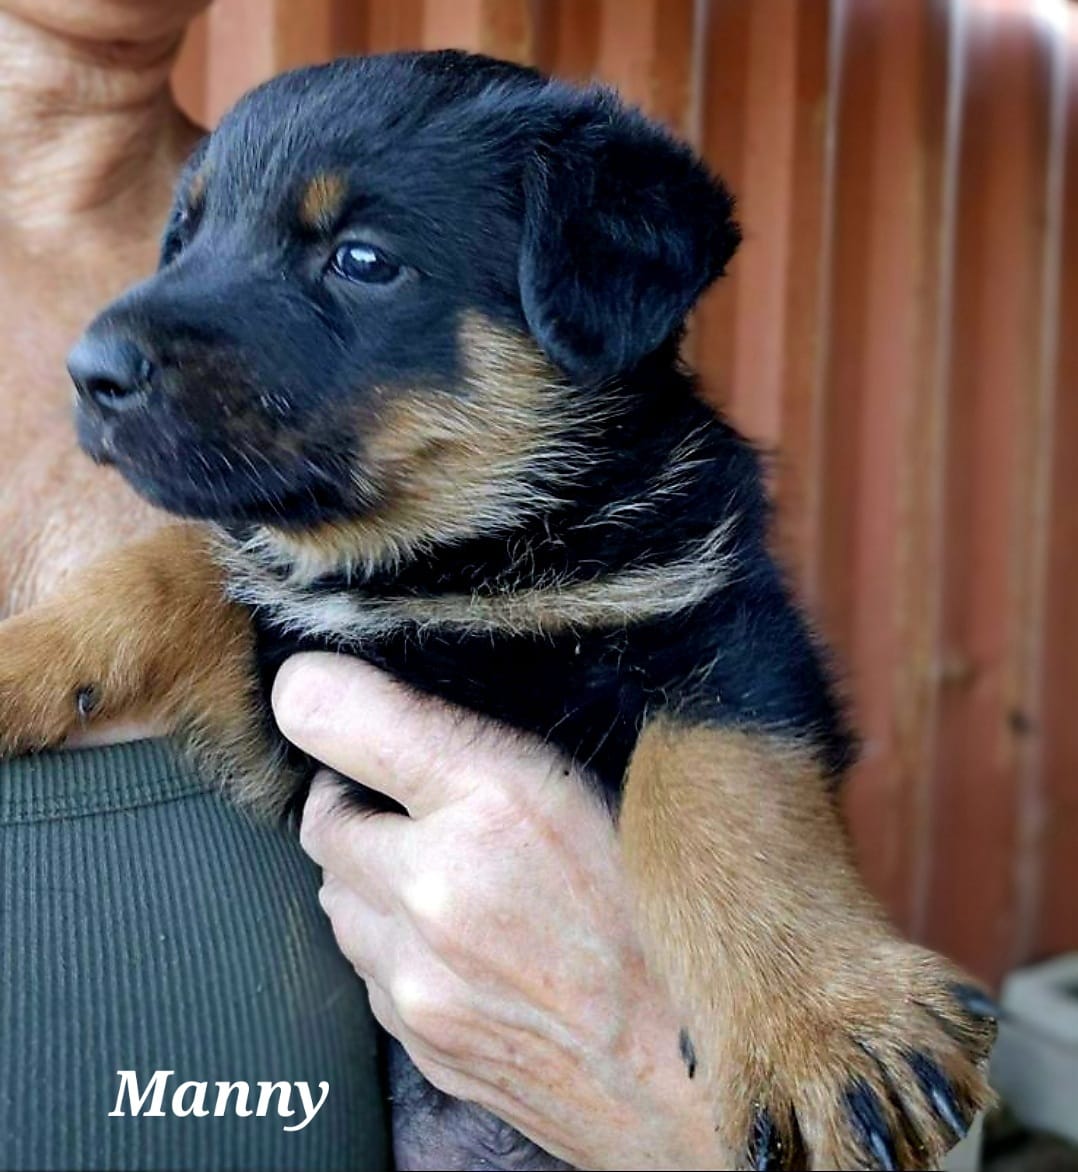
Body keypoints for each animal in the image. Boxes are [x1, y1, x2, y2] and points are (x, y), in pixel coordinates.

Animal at [0, 50, 993, 1167]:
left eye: (362, 258)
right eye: (185, 238)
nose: (89, 372)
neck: (448, 557)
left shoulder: (723, 630)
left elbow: (712, 794)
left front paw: (823, 1022)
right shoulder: (292, 672)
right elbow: (173, 560)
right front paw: (21, 658)